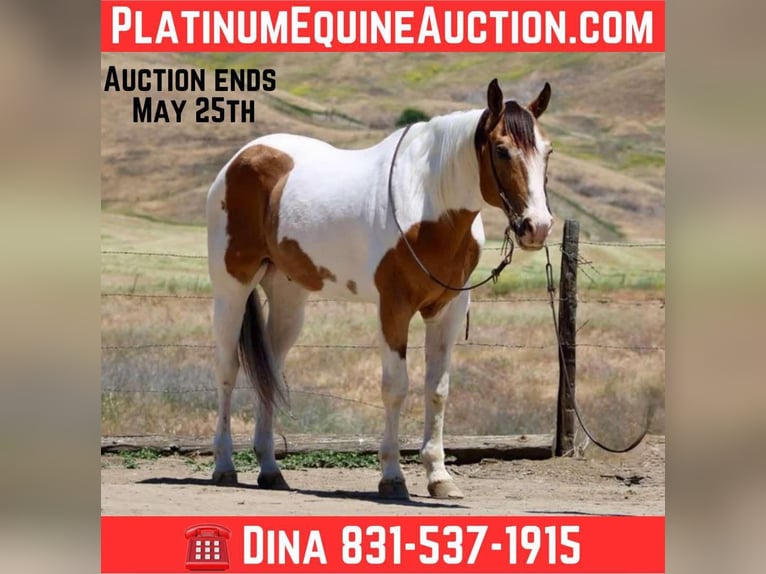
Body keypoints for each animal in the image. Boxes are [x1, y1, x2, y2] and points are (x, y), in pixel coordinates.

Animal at [206, 78, 554, 499]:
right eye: (501, 150)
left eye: (547, 151)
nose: (537, 227)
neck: (428, 201)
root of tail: (239, 160)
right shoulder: (394, 308)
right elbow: (396, 387)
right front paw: (392, 476)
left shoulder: (447, 310)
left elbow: (437, 390)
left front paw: (439, 476)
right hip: (231, 288)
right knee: (227, 369)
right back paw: (224, 465)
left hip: (288, 298)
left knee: (269, 370)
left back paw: (271, 470)